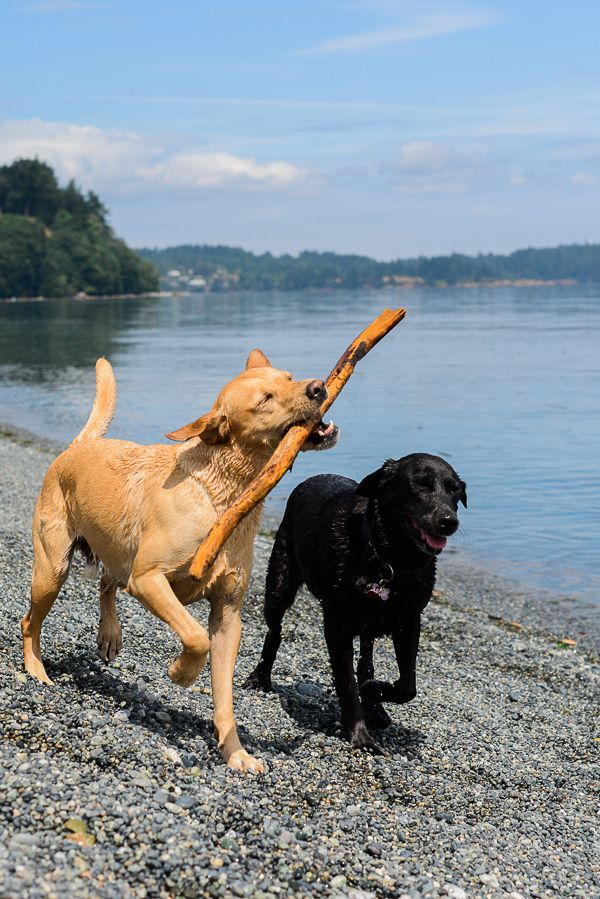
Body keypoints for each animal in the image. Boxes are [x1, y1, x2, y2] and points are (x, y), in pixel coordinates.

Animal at [246, 454, 466, 748]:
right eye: (421, 484)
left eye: (455, 491)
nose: (449, 521)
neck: (389, 563)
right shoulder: (337, 626)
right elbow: (347, 683)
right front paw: (360, 735)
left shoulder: (409, 622)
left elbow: (407, 685)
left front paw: (374, 692)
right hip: (279, 585)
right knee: (275, 631)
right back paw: (260, 677)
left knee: (366, 660)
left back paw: (374, 705)